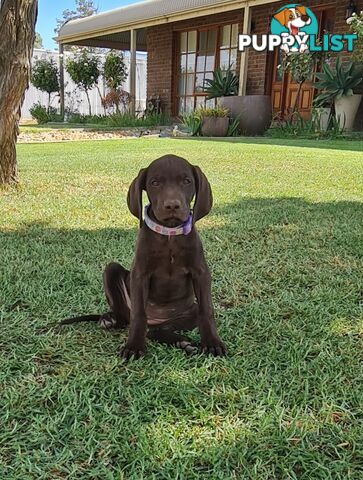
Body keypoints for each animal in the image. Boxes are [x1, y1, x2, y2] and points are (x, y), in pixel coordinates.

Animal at [61, 155, 226, 360]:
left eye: (187, 181)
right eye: (155, 183)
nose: (172, 205)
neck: (169, 234)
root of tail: (156, 320)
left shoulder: (200, 273)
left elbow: (207, 310)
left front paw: (212, 342)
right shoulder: (140, 275)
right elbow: (138, 315)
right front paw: (133, 346)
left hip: (187, 313)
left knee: (157, 330)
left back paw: (182, 342)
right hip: (111, 271)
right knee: (129, 318)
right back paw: (110, 318)